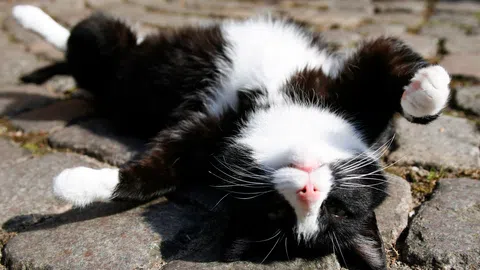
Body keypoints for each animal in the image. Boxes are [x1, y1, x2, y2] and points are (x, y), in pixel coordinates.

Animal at [11, 4, 452, 270]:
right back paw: (28, 22)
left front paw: (73, 184)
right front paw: (428, 87)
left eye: (334, 213)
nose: (308, 189)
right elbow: (388, 56)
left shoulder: (210, 139)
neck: (283, 115)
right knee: (88, 37)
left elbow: (157, 170)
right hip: (125, 58)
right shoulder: (348, 92)